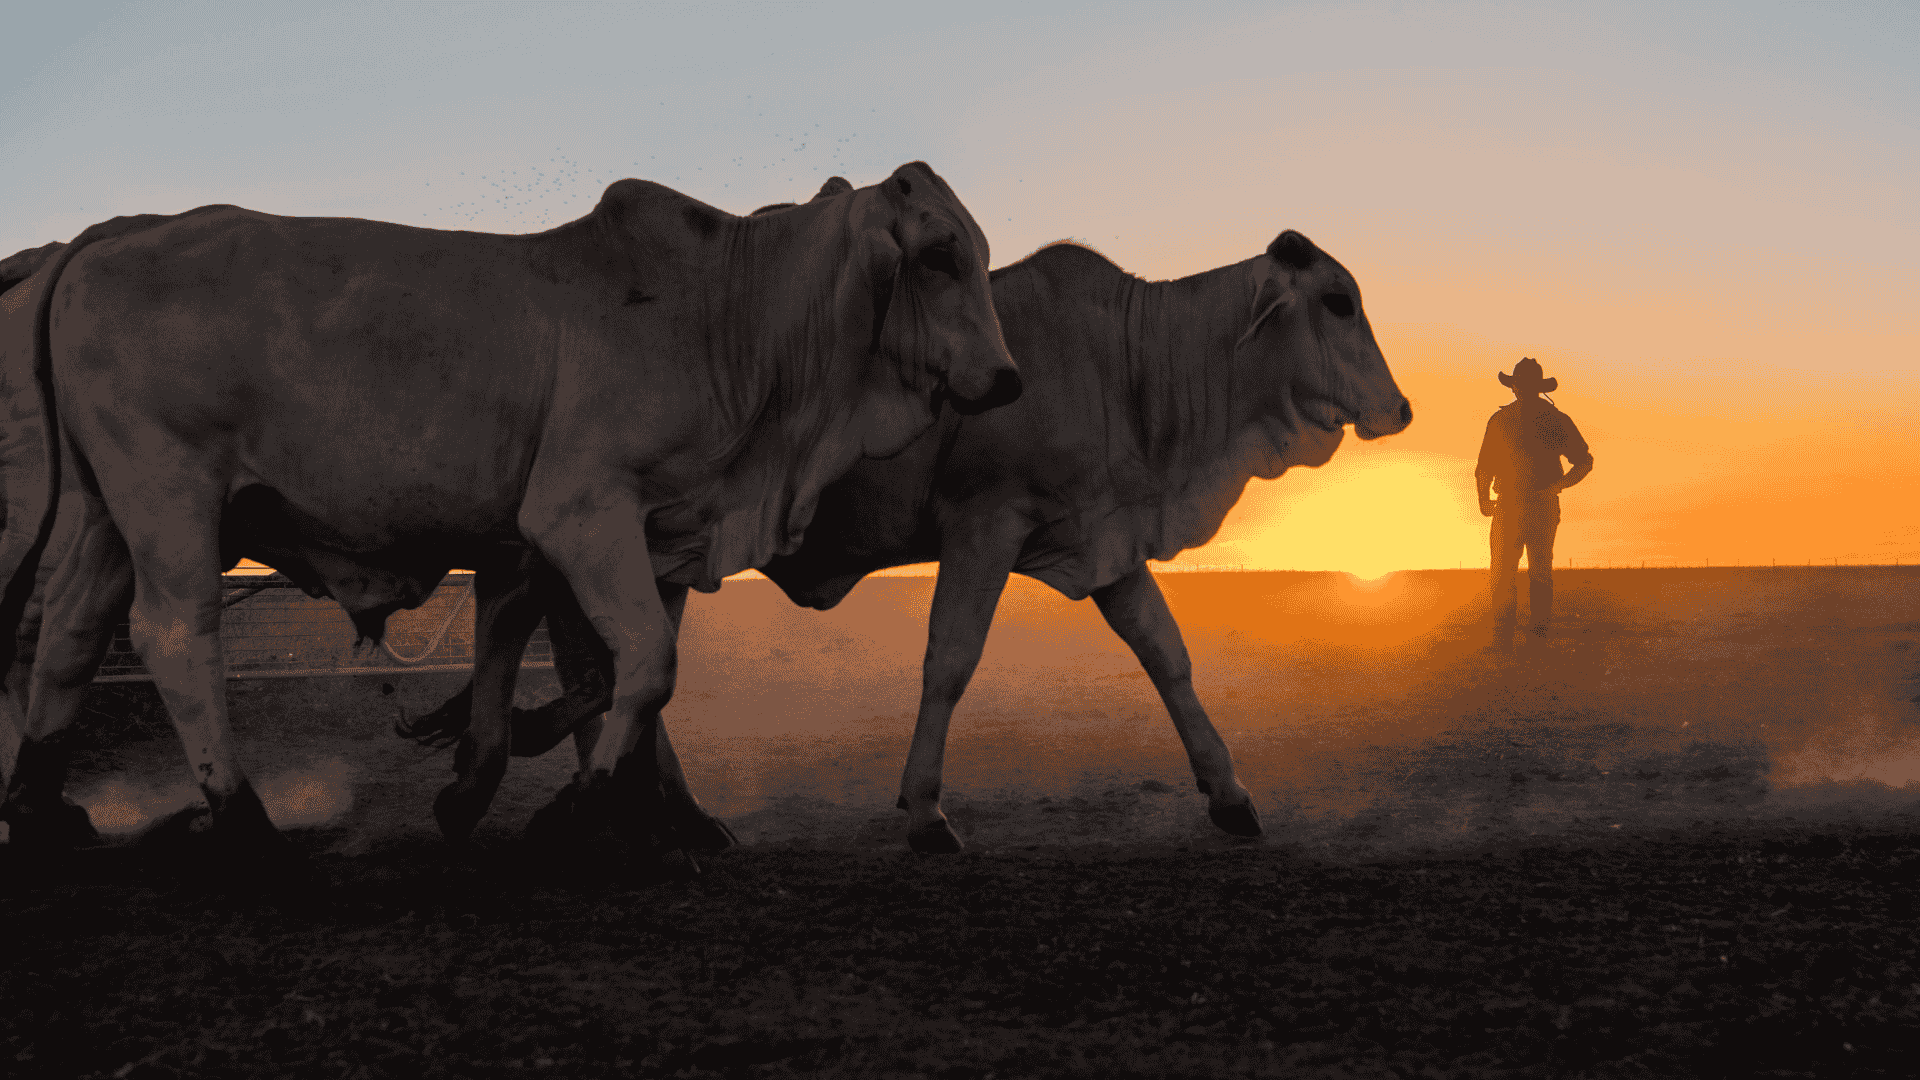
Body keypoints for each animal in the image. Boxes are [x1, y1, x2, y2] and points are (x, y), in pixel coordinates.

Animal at [0, 162, 1022, 857]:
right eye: (939, 255)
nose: (1009, 379)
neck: (726, 317)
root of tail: (115, 232)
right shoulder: (581, 515)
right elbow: (644, 663)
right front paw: (583, 805)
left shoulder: (641, 536)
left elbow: (569, 658)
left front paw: (491, 780)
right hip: (171, 496)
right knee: (174, 633)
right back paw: (242, 819)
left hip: (111, 516)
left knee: (70, 635)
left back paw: (45, 810)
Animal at [404, 227, 1413, 852]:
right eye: (1337, 301)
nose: (1401, 409)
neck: (1129, 363)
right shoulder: (985, 523)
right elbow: (950, 660)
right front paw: (926, 812)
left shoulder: (1102, 540)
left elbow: (1167, 657)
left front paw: (1231, 796)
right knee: (553, 632)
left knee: (597, 653)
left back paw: (655, 812)